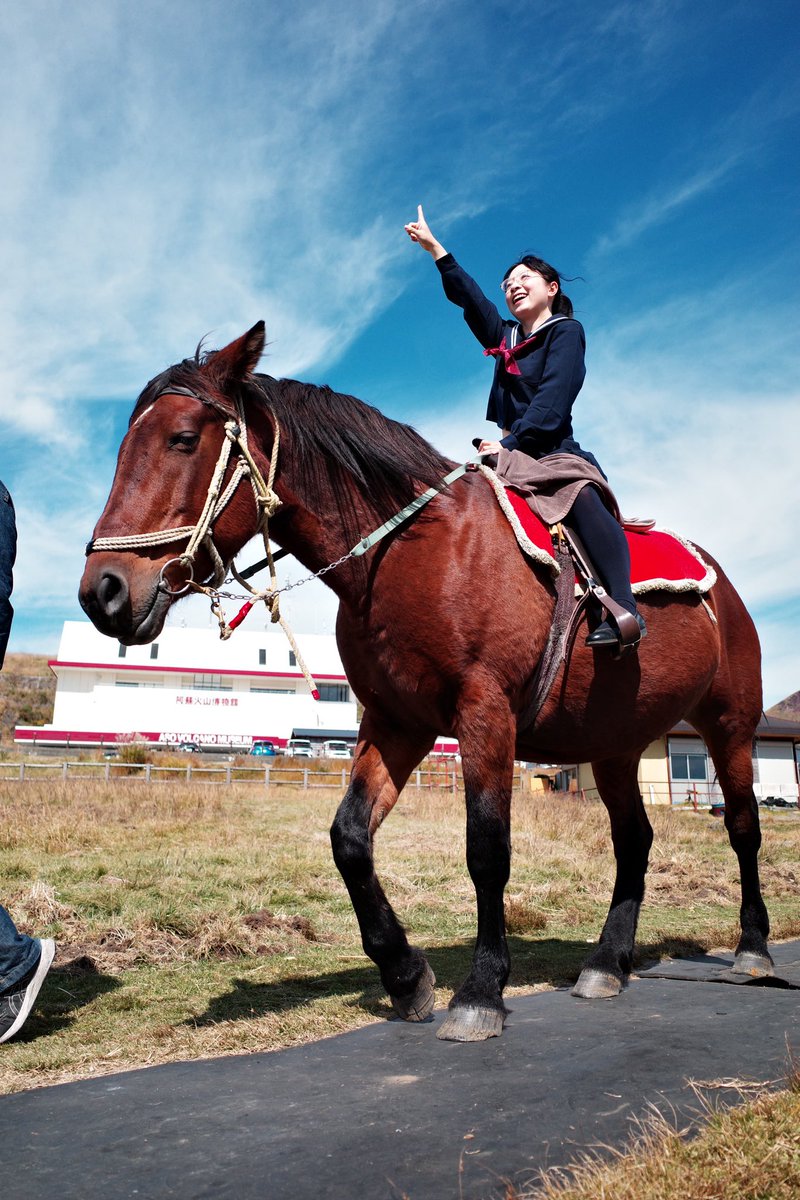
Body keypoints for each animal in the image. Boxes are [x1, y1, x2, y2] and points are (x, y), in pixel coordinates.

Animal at [79, 322, 772, 1042]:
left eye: (184, 439)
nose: (102, 591)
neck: (415, 549)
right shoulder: (396, 722)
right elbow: (350, 839)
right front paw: (405, 974)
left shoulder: (485, 713)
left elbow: (487, 850)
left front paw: (481, 990)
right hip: (615, 746)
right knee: (634, 841)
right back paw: (607, 963)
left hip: (729, 727)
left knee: (742, 827)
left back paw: (751, 950)